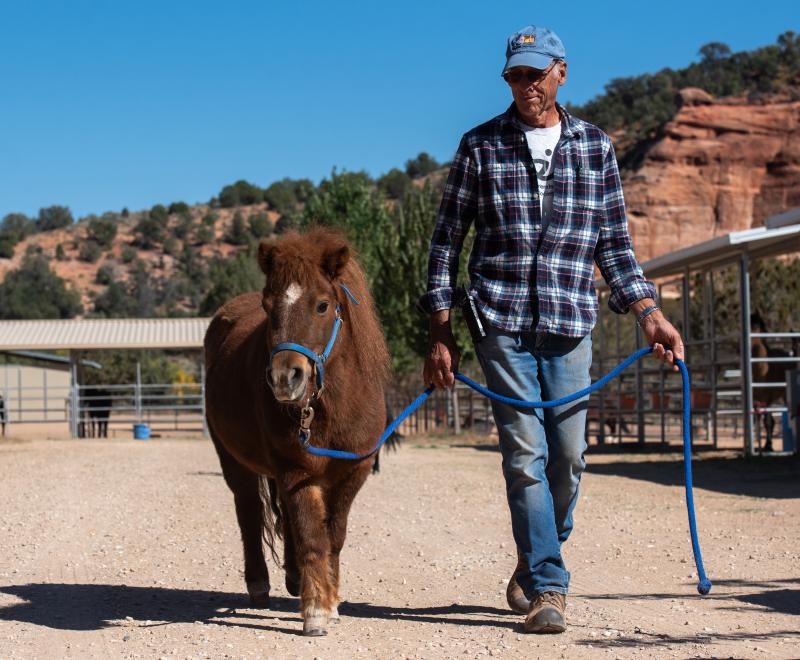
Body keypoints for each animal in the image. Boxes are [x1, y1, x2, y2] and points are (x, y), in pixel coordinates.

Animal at [204, 228, 390, 636]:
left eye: (322, 305)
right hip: (233, 461)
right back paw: (260, 584)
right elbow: (312, 538)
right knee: (249, 512)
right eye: (268, 306)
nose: (284, 378)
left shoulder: (352, 472)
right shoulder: (296, 471)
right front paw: (316, 610)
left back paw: (292, 578)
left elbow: (333, 536)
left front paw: (330, 601)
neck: (329, 408)